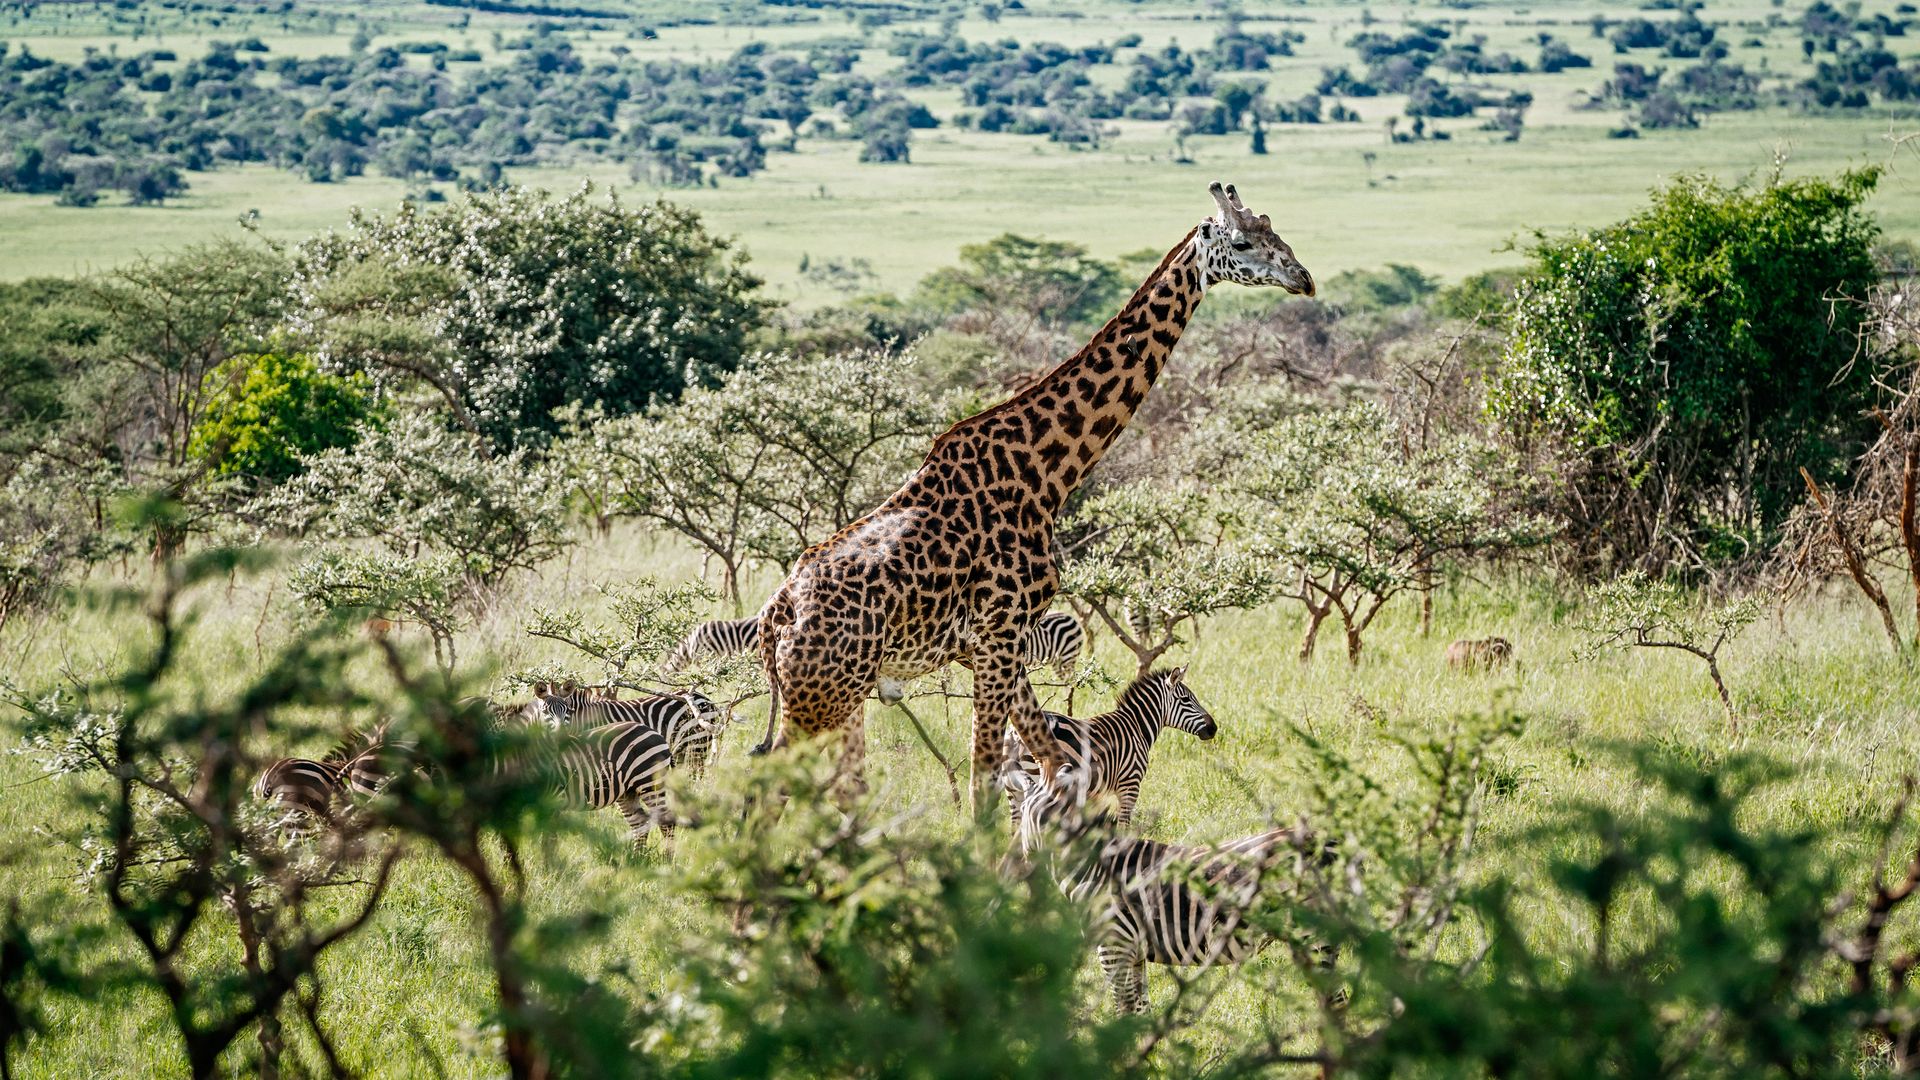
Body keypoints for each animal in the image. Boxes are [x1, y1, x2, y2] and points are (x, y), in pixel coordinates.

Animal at [757, 181, 1314, 808]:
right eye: (1242, 242)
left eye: (1277, 233)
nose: (1303, 278)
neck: (1045, 473)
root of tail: (774, 616)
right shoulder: (997, 634)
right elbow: (985, 778)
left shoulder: (1002, 643)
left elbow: (1052, 761)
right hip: (821, 696)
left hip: (842, 696)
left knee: (838, 786)